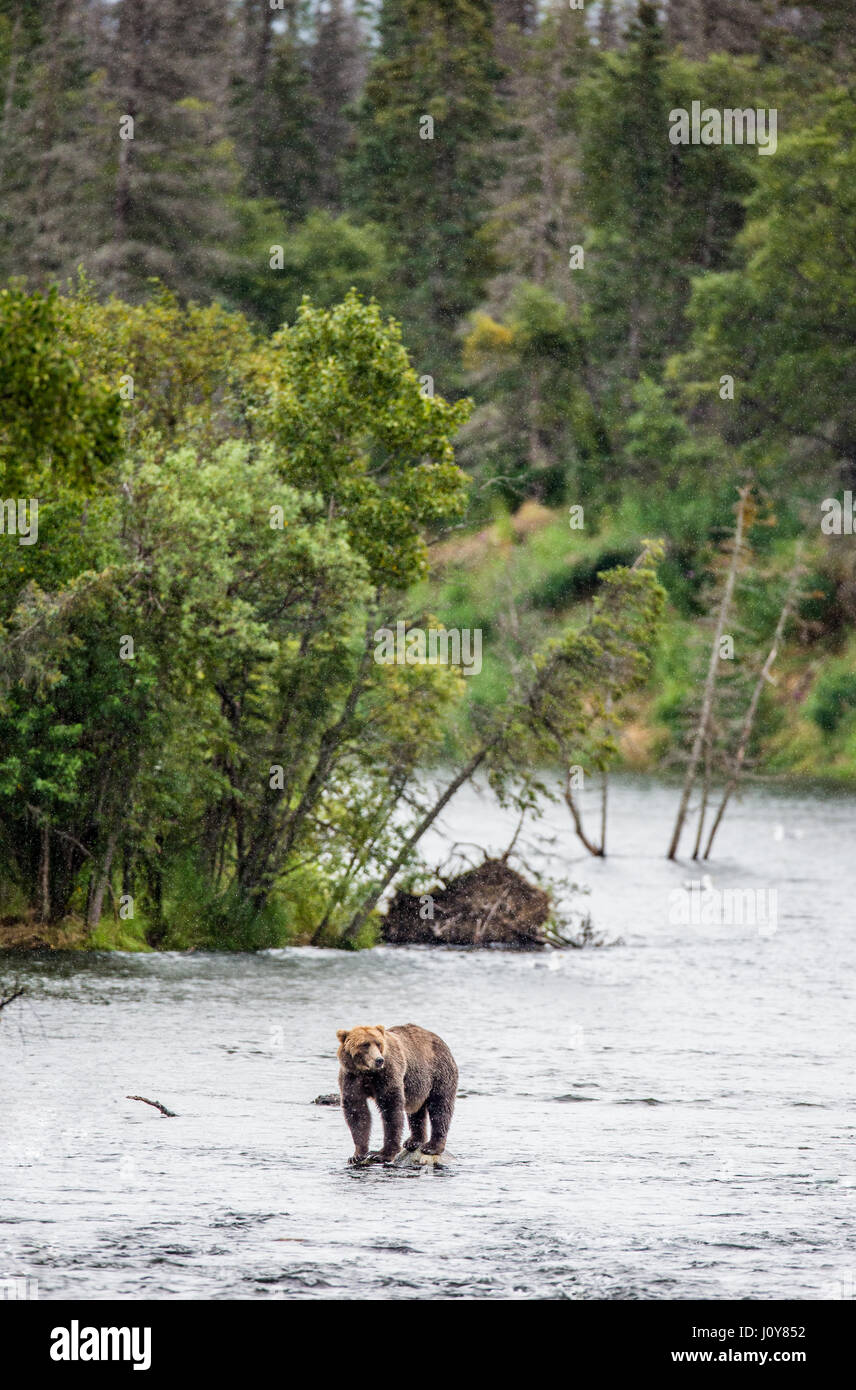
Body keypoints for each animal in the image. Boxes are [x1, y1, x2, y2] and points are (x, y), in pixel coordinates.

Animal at [336, 1023, 458, 1165]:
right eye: (365, 1044)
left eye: (378, 1043)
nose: (379, 1060)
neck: (368, 1073)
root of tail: (439, 1039)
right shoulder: (351, 1078)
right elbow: (357, 1112)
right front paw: (357, 1155)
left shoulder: (388, 1073)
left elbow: (391, 1109)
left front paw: (381, 1154)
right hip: (416, 1086)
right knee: (416, 1111)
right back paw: (413, 1141)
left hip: (438, 1073)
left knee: (440, 1107)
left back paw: (431, 1146)